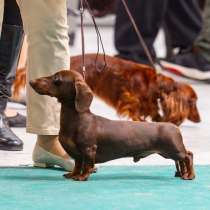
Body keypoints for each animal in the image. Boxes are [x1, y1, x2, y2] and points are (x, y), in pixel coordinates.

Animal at [12, 53, 200, 124]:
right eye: (193, 102)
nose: (199, 120)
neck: (154, 83)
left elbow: (153, 111)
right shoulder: (129, 98)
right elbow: (136, 110)